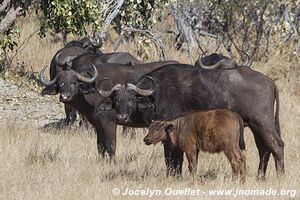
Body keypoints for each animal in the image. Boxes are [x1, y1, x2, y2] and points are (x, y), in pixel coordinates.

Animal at [39, 60, 178, 158]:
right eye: (60, 83)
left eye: (74, 82)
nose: (64, 97)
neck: (94, 90)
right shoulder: (98, 124)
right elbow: (100, 146)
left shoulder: (109, 122)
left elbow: (111, 145)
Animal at [105, 63, 284, 179]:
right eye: (116, 99)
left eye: (132, 98)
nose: (121, 117)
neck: (157, 93)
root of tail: (268, 80)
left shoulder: (170, 134)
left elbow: (172, 159)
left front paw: (174, 177)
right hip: (255, 126)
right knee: (264, 149)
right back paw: (260, 176)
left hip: (263, 122)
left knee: (276, 145)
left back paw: (280, 175)